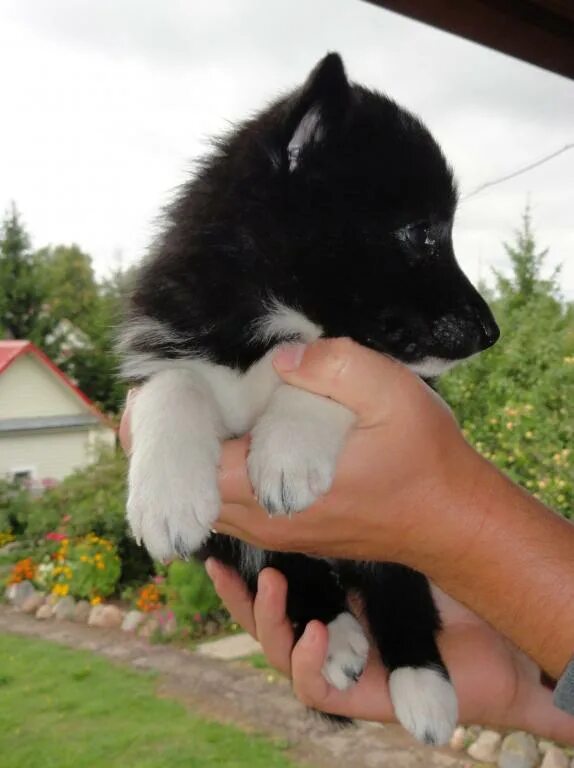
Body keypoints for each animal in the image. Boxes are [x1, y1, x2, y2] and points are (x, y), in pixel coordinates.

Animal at [120, 54, 500, 744]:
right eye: (421, 232)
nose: (493, 332)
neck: (278, 319)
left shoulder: (394, 376)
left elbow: (336, 368)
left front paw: (287, 454)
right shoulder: (163, 341)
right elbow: (172, 385)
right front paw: (165, 499)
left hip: (400, 543)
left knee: (398, 586)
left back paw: (424, 686)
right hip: (249, 546)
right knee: (286, 572)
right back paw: (336, 636)